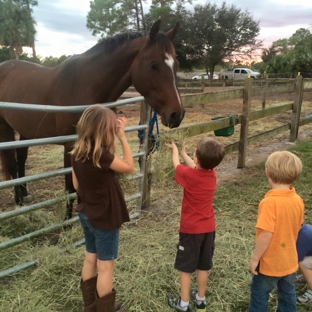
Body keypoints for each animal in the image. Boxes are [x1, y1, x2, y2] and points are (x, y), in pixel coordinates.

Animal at [0, 19, 185, 217]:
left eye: (176, 64)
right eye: (153, 65)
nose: (177, 114)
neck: (86, 84)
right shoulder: (70, 145)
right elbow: (70, 187)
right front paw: (67, 221)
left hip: (26, 130)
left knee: (21, 159)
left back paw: (24, 196)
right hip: (5, 128)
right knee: (12, 163)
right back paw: (19, 201)